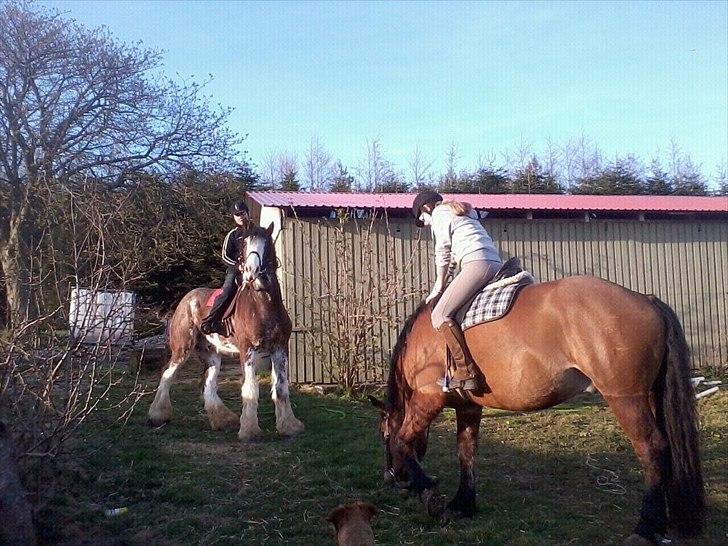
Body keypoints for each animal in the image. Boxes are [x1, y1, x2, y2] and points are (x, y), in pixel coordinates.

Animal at [149, 223, 302, 440]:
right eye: (244, 244)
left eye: (266, 243)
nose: (251, 272)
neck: (263, 306)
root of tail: (187, 298)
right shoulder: (248, 351)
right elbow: (250, 390)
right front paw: (249, 431)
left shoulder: (279, 349)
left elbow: (281, 389)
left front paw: (289, 426)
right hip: (182, 348)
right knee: (168, 374)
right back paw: (157, 415)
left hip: (212, 354)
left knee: (208, 384)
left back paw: (223, 420)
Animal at [370, 276, 704, 544]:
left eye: (382, 434)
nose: (391, 478)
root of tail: (646, 299)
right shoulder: (469, 407)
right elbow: (466, 452)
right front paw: (462, 504)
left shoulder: (428, 398)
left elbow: (405, 439)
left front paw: (430, 493)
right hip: (650, 396)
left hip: (626, 398)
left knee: (652, 449)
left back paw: (645, 528)